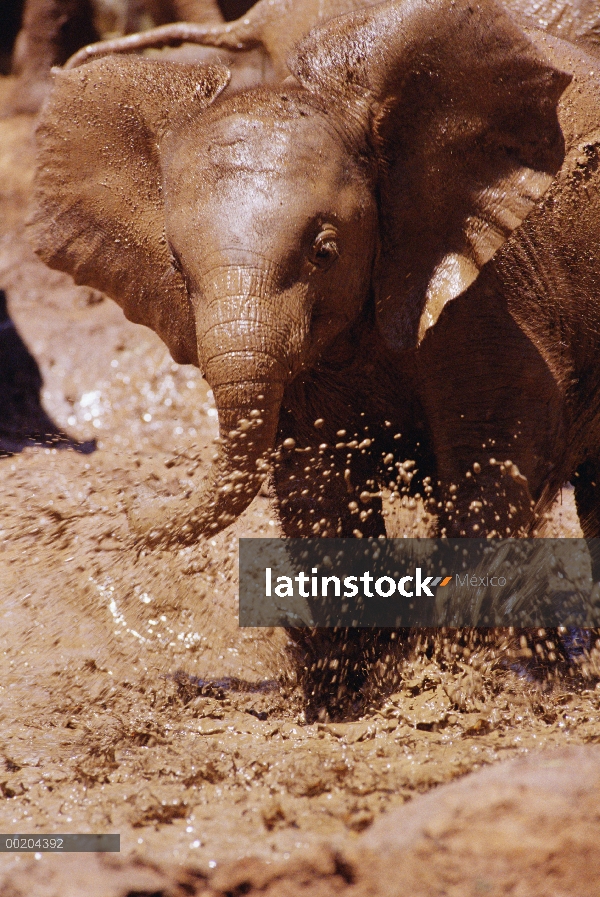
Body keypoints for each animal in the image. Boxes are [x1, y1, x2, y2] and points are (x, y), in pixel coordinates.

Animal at [29, 0, 600, 552]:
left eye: (324, 252)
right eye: (175, 265)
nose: (130, 506)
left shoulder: (486, 301)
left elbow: (486, 491)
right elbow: (319, 502)